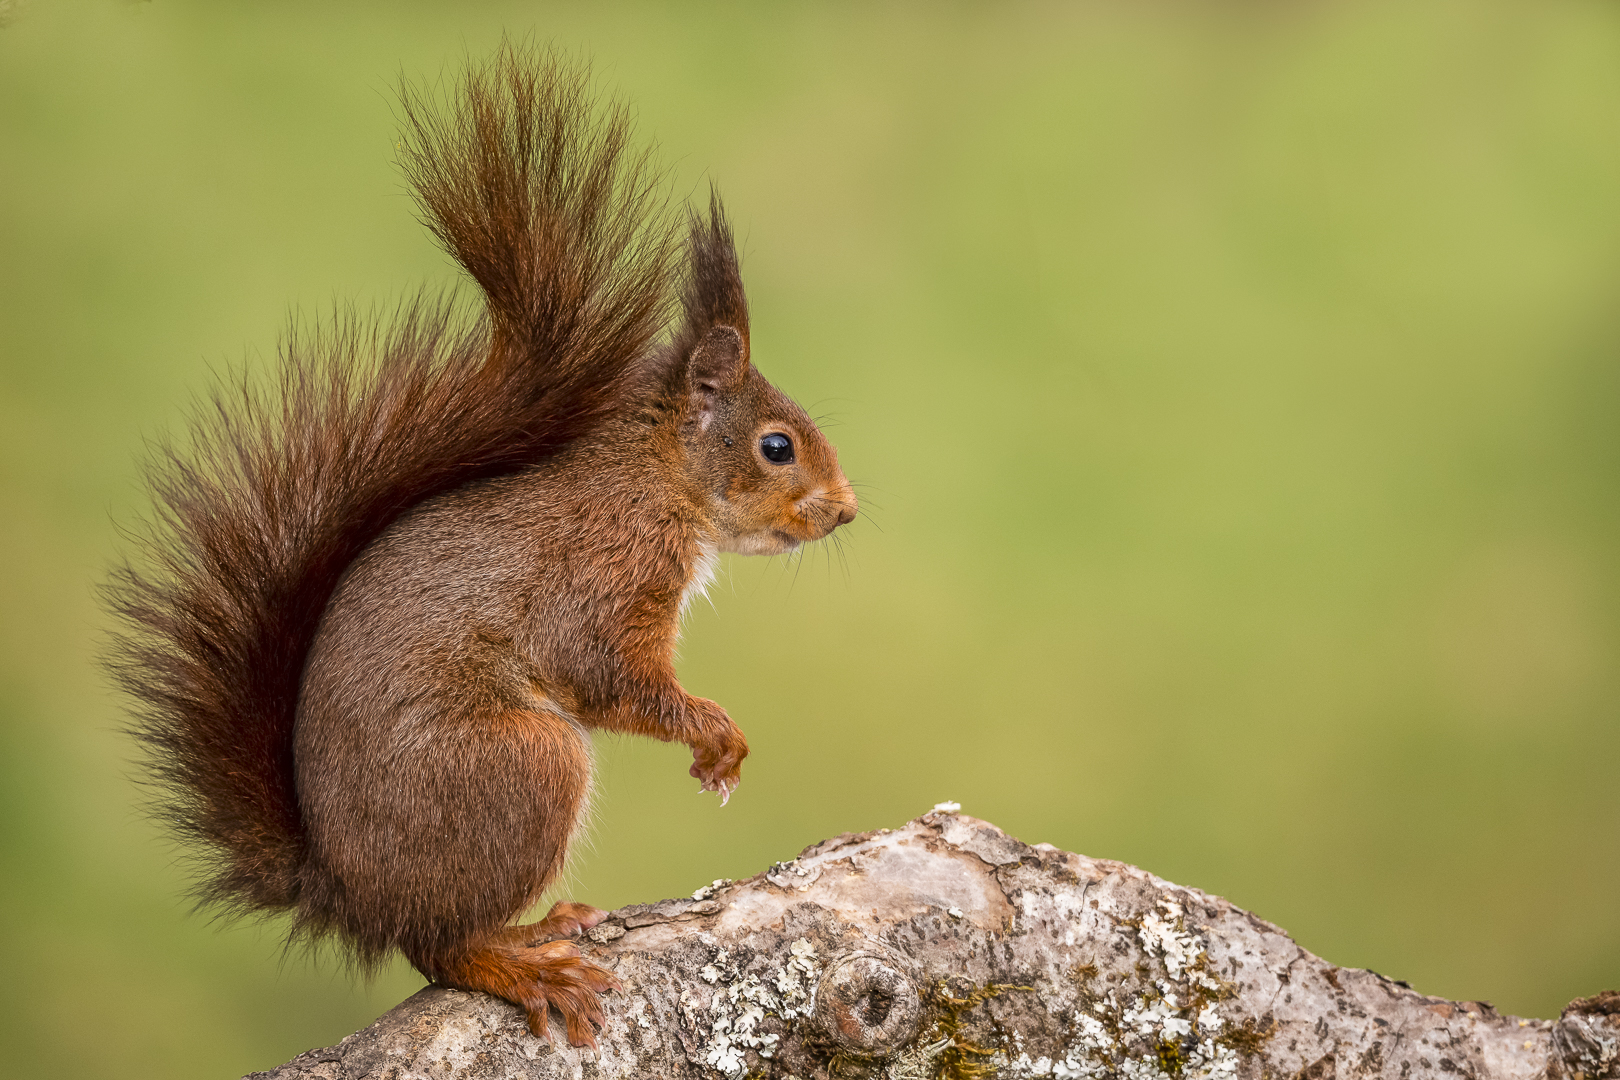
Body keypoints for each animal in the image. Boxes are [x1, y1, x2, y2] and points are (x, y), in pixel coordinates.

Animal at [107, 48, 861, 1049]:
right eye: (777, 447)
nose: (846, 513)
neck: (655, 480)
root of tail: (350, 896)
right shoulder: (606, 573)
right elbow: (606, 673)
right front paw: (715, 733)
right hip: (525, 766)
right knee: (439, 947)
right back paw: (520, 959)